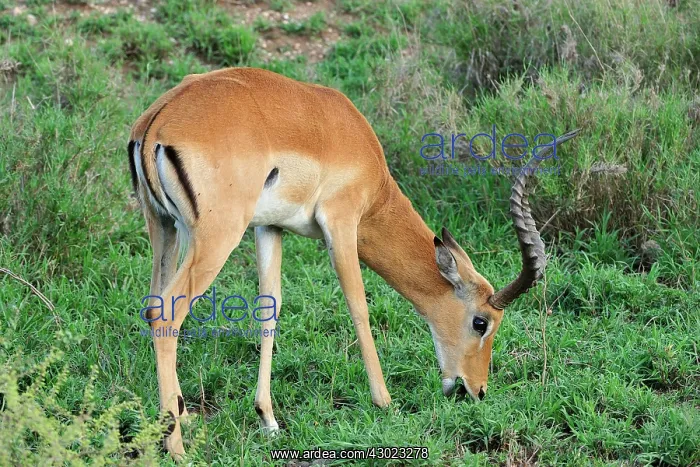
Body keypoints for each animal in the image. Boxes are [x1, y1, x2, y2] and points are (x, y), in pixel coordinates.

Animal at [128, 67, 578, 458]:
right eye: (481, 322)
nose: (476, 389)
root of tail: (158, 120)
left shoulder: (269, 228)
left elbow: (270, 307)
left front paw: (268, 419)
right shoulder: (342, 223)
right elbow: (359, 305)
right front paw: (385, 401)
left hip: (164, 229)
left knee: (153, 304)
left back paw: (175, 423)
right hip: (215, 237)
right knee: (167, 314)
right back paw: (177, 447)